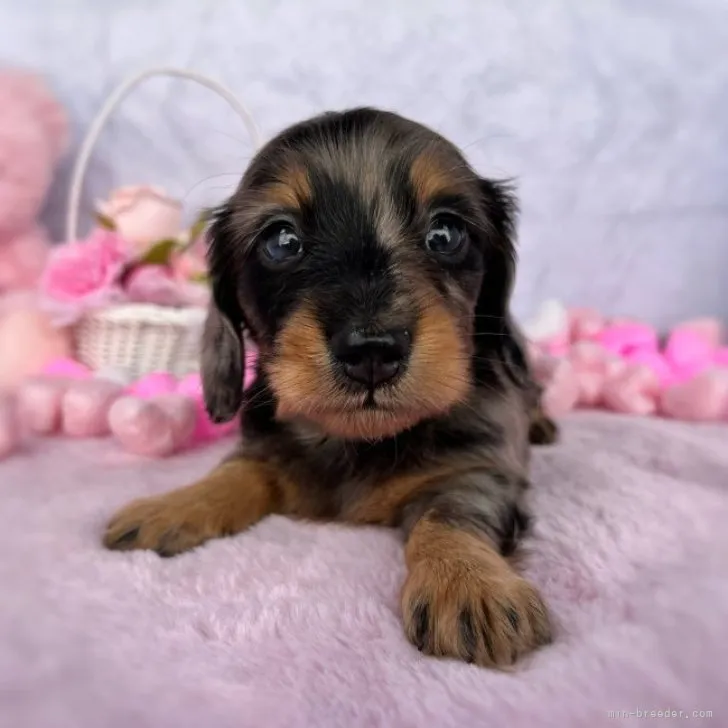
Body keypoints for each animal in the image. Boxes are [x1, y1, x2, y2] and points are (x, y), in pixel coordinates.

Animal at [102, 105, 556, 668]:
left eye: (446, 234)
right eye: (281, 241)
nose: (372, 351)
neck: (355, 440)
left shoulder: (479, 469)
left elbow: (450, 515)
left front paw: (469, 584)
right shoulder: (264, 448)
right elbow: (234, 473)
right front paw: (174, 505)